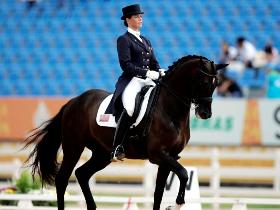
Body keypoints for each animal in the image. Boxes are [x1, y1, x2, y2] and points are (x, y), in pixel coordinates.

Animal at [25, 55, 228, 210]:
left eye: (216, 83)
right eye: (203, 81)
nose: (205, 113)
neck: (169, 109)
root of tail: (74, 101)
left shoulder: (170, 156)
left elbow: (159, 192)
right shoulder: (158, 154)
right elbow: (184, 174)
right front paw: (177, 203)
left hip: (102, 154)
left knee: (82, 174)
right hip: (74, 147)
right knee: (62, 179)